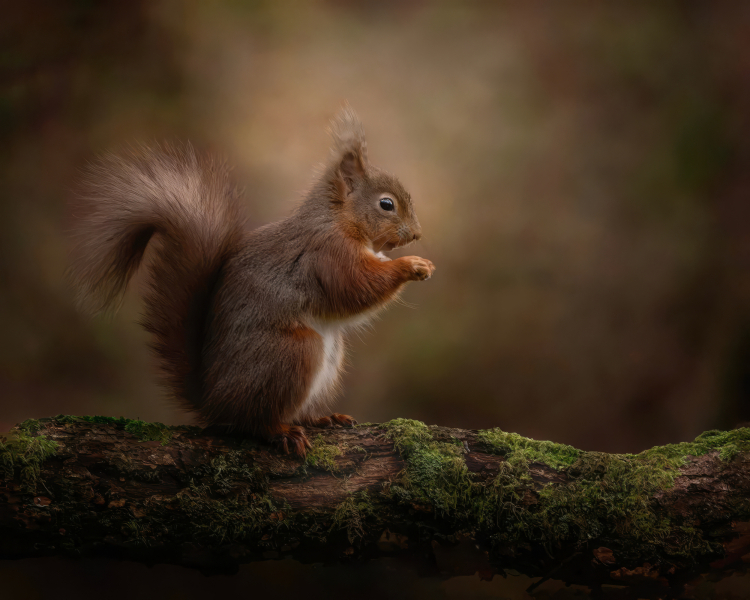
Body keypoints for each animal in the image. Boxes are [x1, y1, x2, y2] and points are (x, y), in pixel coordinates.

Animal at [69, 106, 435, 455]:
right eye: (386, 204)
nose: (417, 235)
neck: (339, 220)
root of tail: (213, 400)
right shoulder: (328, 254)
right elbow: (356, 287)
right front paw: (412, 265)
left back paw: (322, 418)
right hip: (291, 353)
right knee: (253, 421)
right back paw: (281, 432)